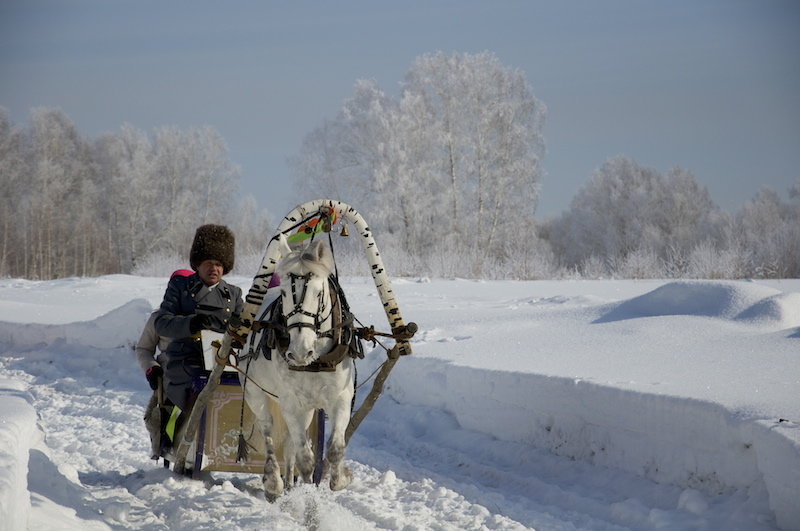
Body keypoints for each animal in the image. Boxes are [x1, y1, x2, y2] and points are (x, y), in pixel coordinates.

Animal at [241, 239, 354, 500]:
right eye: (284, 293)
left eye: (318, 292)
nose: (300, 352)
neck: (315, 363)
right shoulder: (291, 402)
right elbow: (306, 460)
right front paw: (307, 495)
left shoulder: (341, 397)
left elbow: (334, 449)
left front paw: (341, 478)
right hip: (256, 393)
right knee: (268, 430)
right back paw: (274, 482)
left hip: (308, 408)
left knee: (290, 442)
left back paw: (289, 483)